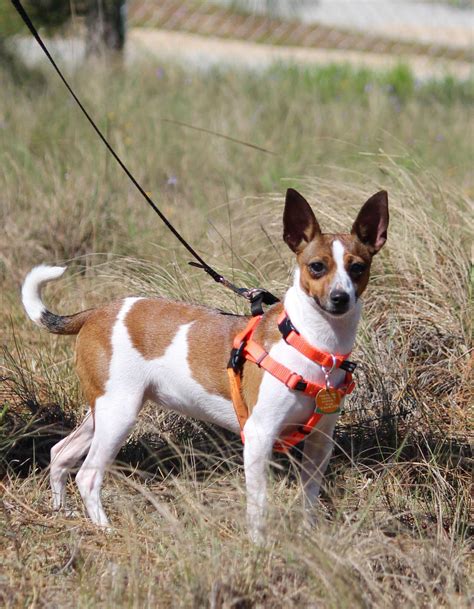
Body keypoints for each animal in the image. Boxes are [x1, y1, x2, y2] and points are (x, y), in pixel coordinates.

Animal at [20, 188, 386, 540]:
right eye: (317, 267)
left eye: (357, 267)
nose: (340, 298)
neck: (312, 345)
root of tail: (96, 312)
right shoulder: (259, 437)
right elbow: (258, 505)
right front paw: (259, 545)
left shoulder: (320, 443)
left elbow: (309, 498)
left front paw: (310, 537)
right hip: (119, 415)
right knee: (88, 475)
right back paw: (104, 529)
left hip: (103, 412)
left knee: (60, 453)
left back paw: (61, 512)